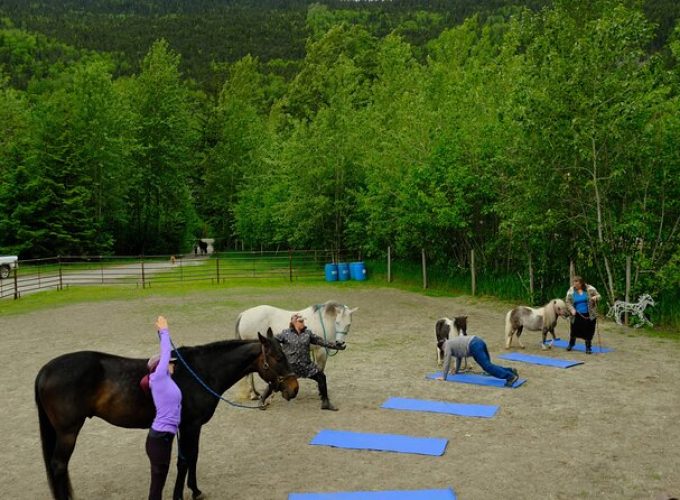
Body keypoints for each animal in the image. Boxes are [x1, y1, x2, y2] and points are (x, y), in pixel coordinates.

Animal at [33, 330, 294, 500]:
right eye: (278, 358)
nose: (293, 388)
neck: (202, 371)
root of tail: (45, 370)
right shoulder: (190, 426)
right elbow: (185, 460)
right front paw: (180, 495)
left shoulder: (191, 426)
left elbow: (192, 457)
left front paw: (195, 491)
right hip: (68, 432)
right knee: (58, 465)